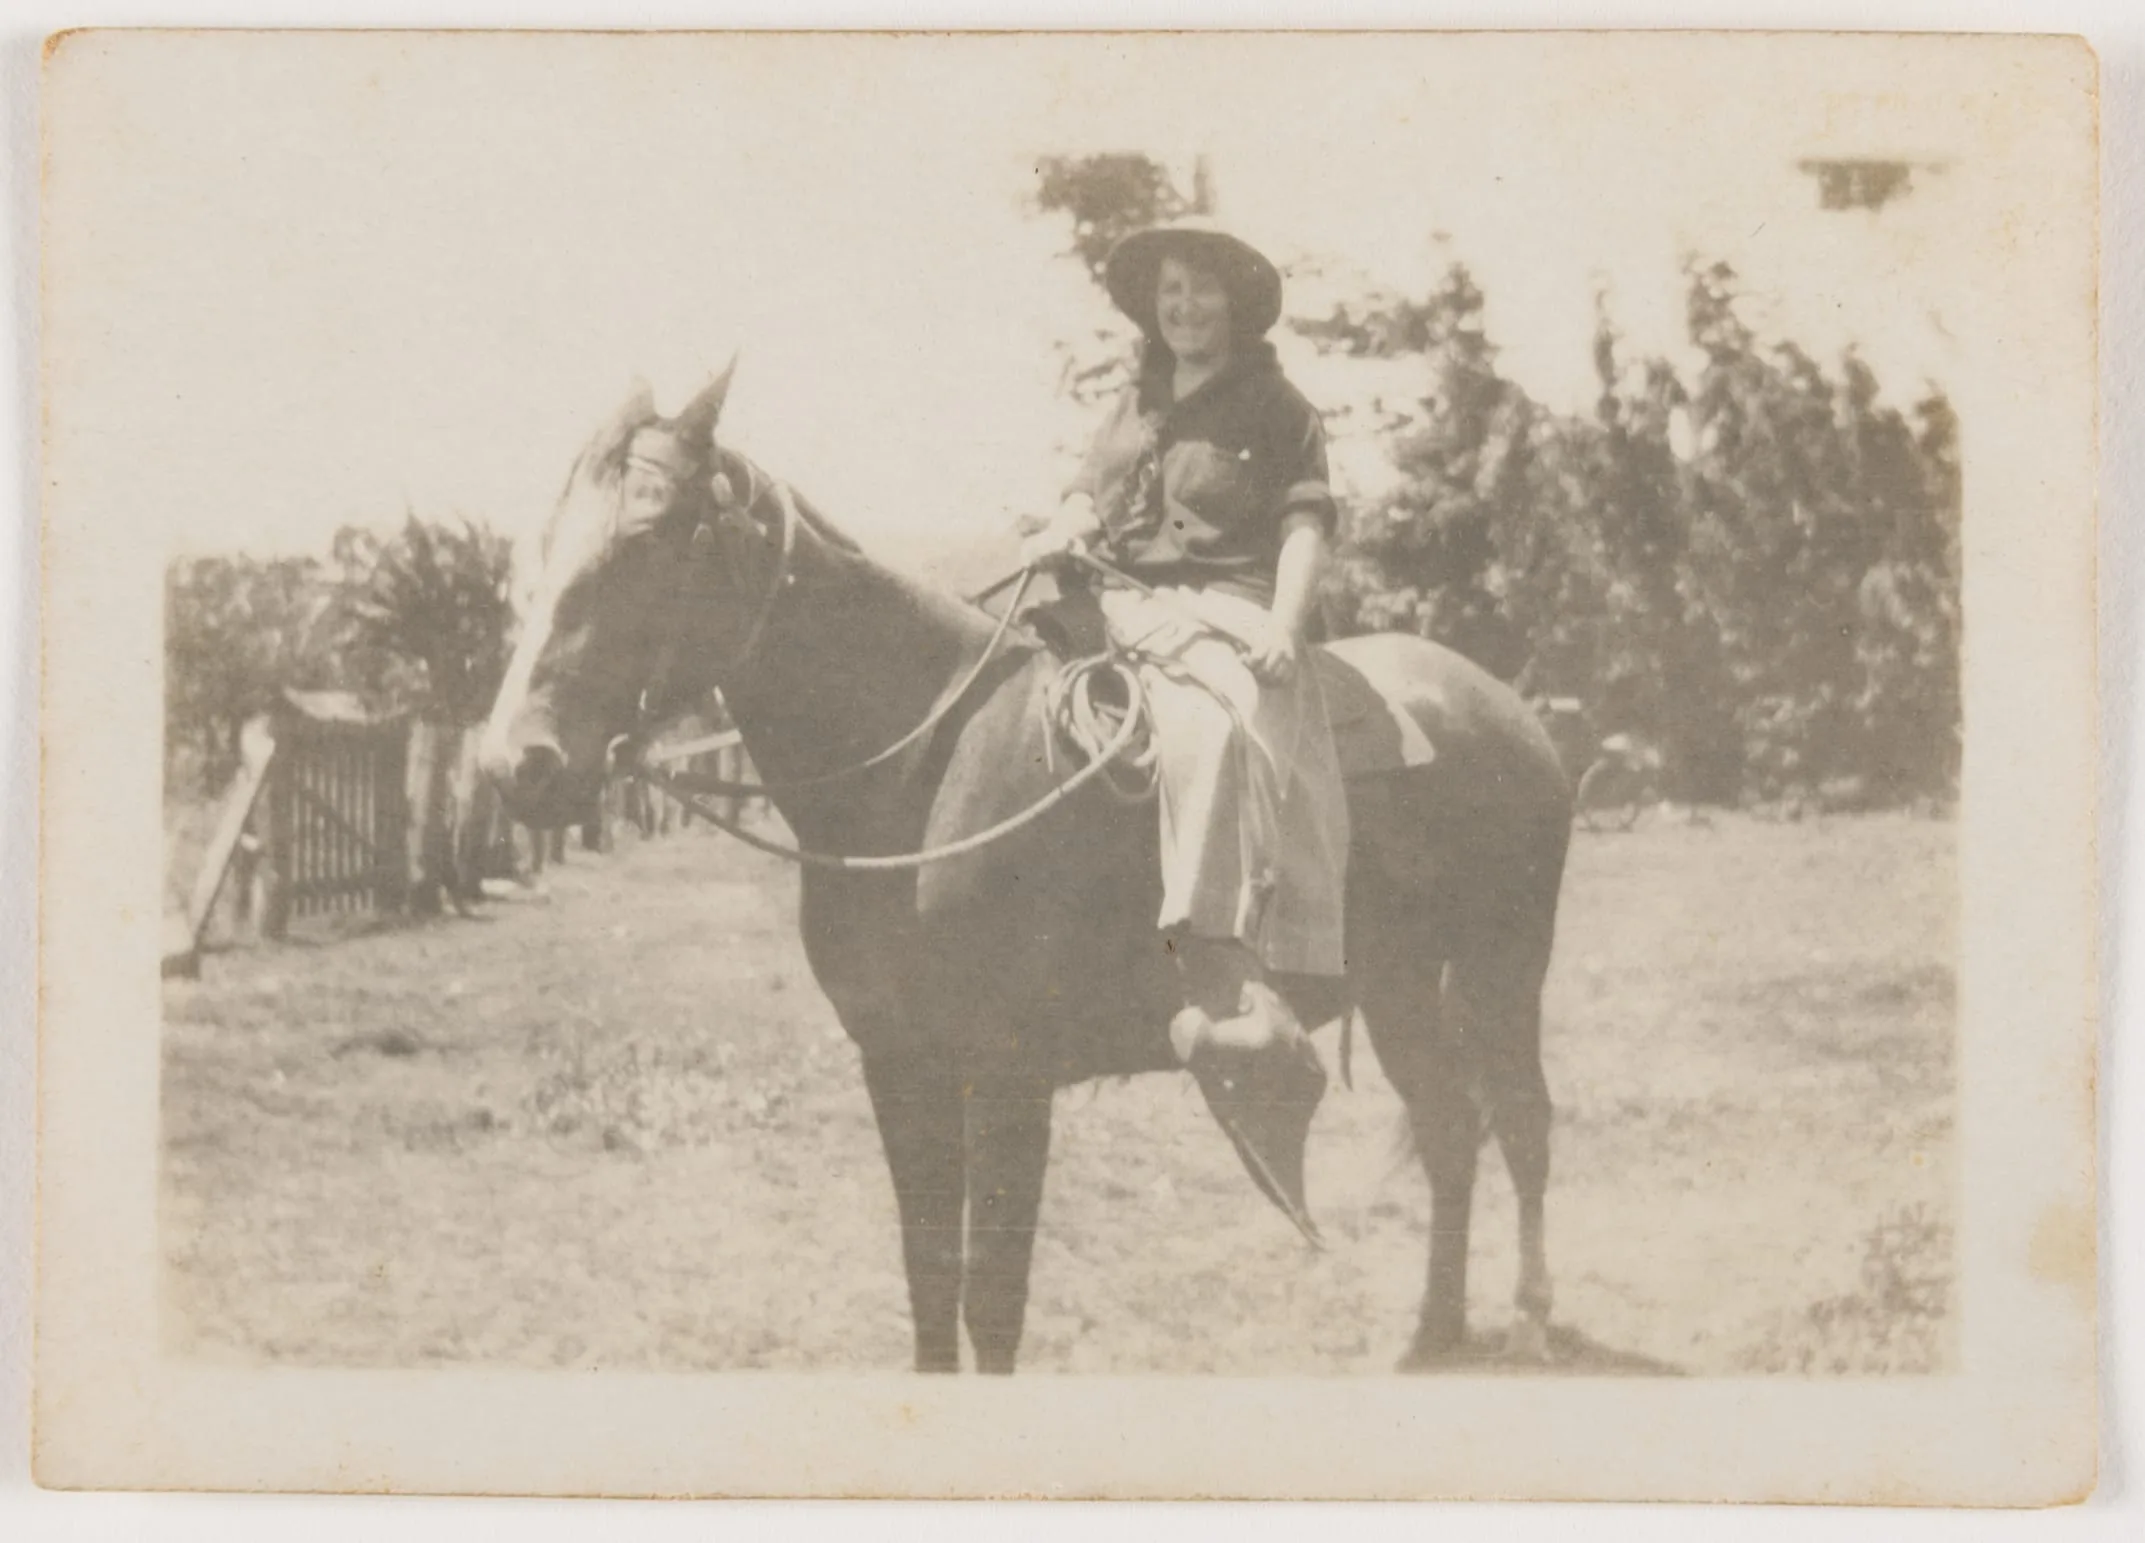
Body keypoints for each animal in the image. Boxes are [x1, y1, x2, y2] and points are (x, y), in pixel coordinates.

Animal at [481, 370, 1574, 1374]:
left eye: (648, 535)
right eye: (546, 545)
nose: (512, 763)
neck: (923, 764)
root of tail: (1510, 709)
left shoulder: (1008, 1074)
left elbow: (991, 1295)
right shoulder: (900, 1064)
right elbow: (930, 1275)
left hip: (1504, 972)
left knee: (1522, 1123)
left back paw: (1528, 1318)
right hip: (1399, 986)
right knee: (1448, 1125)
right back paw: (1433, 1333)